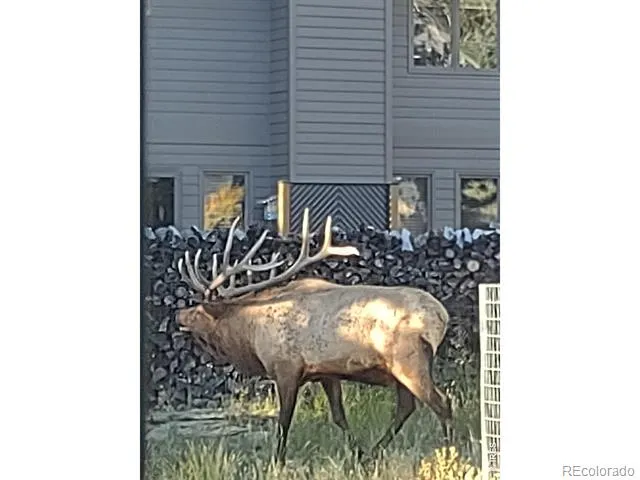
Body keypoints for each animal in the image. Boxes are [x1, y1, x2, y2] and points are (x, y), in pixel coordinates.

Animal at [176, 208, 453, 465]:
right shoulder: (326, 373)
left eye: (198, 309)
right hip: (401, 370)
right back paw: (374, 452)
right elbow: (339, 416)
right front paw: (357, 453)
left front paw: (277, 461)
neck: (251, 334)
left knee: (442, 402)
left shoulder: (286, 368)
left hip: (409, 361)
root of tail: (441, 317)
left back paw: (450, 452)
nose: (179, 314)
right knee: (407, 407)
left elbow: (284, 421)